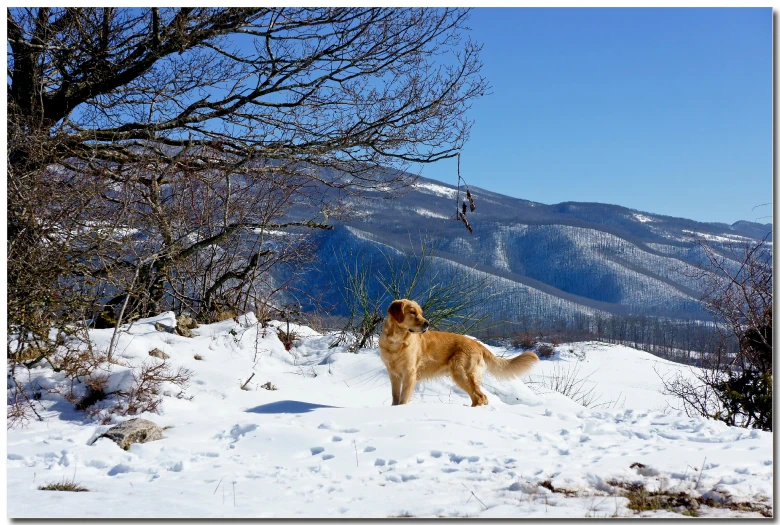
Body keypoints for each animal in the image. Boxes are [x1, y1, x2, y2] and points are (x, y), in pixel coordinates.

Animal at [380, 298, 544, 406]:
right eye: (412, 312)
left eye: (420, 313)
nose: (427, 323)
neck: (396, 342)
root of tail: (478, 344)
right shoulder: (393, 374)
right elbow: (395, 398)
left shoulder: (409, 373)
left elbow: (403, 399)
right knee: (480, 397)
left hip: (461, 372)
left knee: (480, 397)